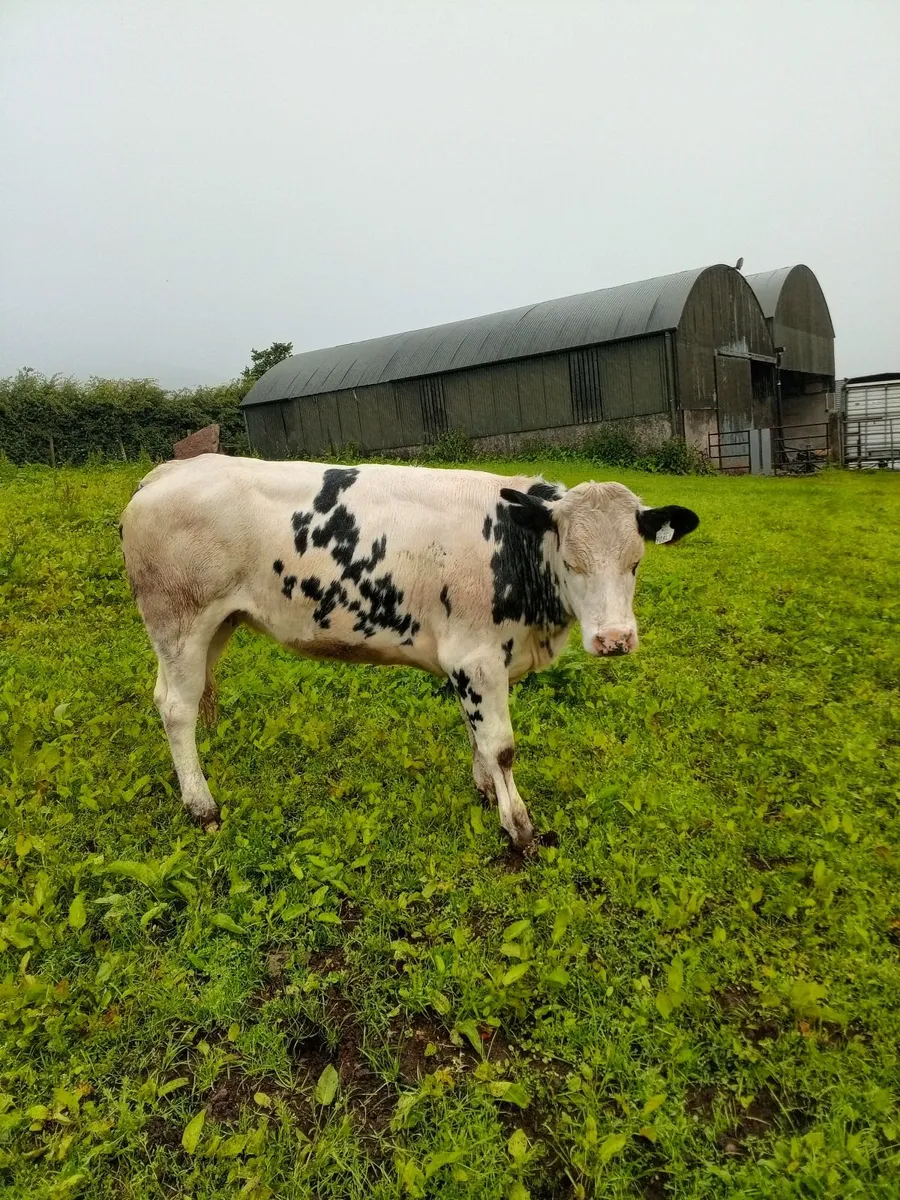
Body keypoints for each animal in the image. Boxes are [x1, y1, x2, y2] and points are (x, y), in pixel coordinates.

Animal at [120, 455, 698, 847]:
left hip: (214, 625)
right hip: (179, 619)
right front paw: (518, 826)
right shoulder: (475, 657)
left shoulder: (473, 665)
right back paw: (202, 806)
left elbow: (478, 736)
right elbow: (502, 746)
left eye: (635, 562)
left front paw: (486, 791)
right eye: (572, 563)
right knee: (176, 709)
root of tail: (169, 471)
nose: (614, 640)